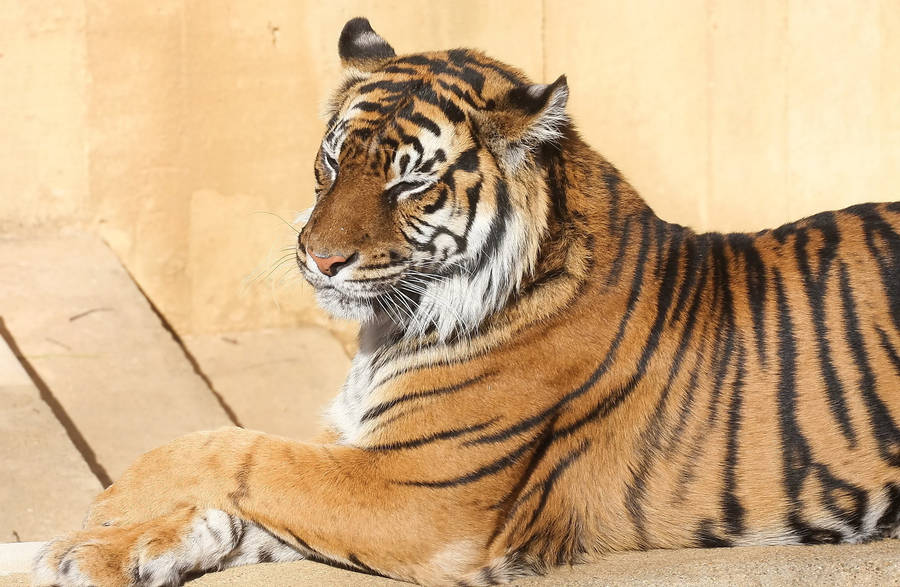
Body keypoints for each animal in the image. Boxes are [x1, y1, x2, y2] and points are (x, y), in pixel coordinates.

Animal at [35, 16, 900, 587]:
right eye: (331, 163)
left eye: (408, 185)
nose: (319, 258)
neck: (388, 327)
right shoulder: (366, 461)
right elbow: (239, 506)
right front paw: (100, 552)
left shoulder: (416, 491)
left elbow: (239, 451)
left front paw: (108, 506)